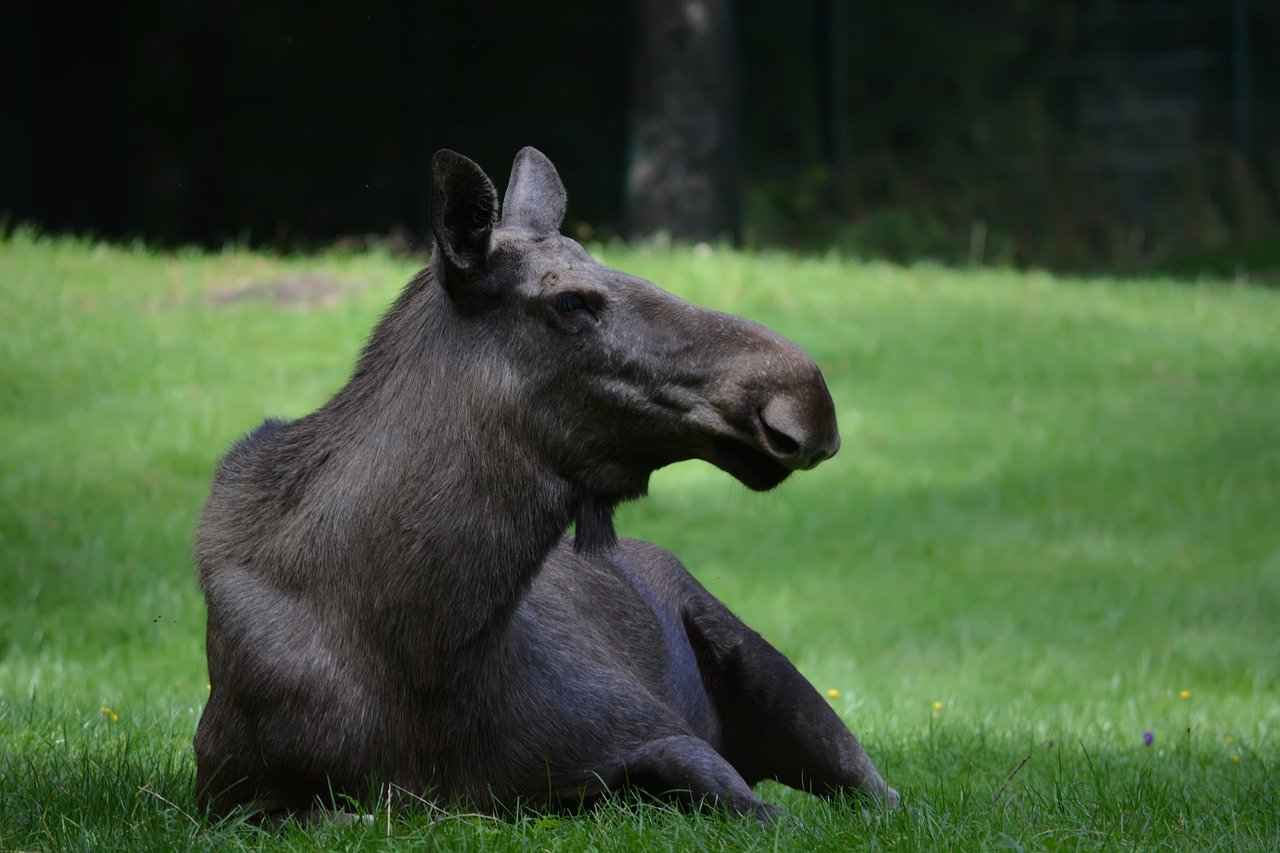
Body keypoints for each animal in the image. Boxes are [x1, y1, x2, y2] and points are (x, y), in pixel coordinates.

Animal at [194, 144, 896, 819]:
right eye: (570, 300)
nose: (806, 399)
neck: (427, 650)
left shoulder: (656, 731)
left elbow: (765, 813)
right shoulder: (231, 797)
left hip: (765, 666)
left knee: (883, 796)